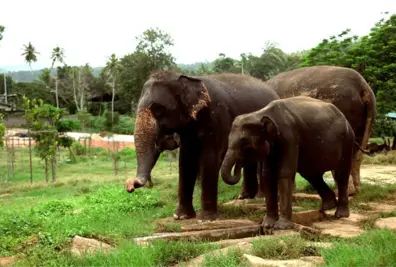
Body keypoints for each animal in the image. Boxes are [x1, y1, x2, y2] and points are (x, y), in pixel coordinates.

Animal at [124, 70, 278, 221]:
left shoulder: (216, 118)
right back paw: (245, 197)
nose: (130, 185)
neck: (186, 78)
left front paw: (207, 219)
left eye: (158, 110)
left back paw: (259, 197)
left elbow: (210, 157)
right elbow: (186, 160)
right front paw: (181, 216)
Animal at [221, 96, 358, 232]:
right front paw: (267, 225)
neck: (261, 113)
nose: (239, 164)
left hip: (347, 140)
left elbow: (285, 173)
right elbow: (267, 175)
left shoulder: (290, 138)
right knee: (311, 175)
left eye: (244, 143)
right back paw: (328, 207)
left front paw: (281, 226)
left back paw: (340, 214)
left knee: (341, 174)